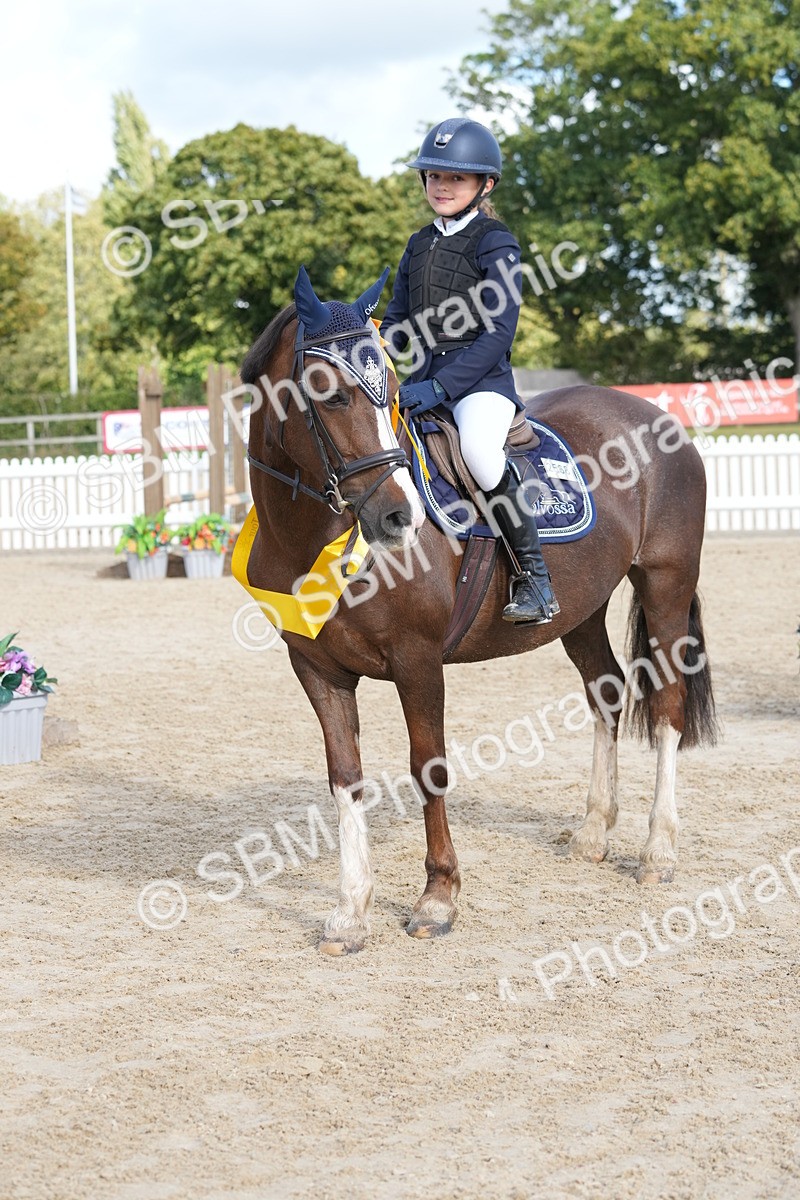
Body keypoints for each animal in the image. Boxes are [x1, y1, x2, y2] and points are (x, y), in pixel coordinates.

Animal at [238, 267, 718, 955]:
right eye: (327, 394)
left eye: (391, 392)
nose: (397, 517)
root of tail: (659, 418)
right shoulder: (317, 669)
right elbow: (345, 777)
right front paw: (350, 914)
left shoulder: (417, 661)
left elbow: (428, 768)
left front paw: (438, 899)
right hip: (581, 613)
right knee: (607, 693)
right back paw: (593, 834)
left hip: (666, 586)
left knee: (669, 706)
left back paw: (658, 851)